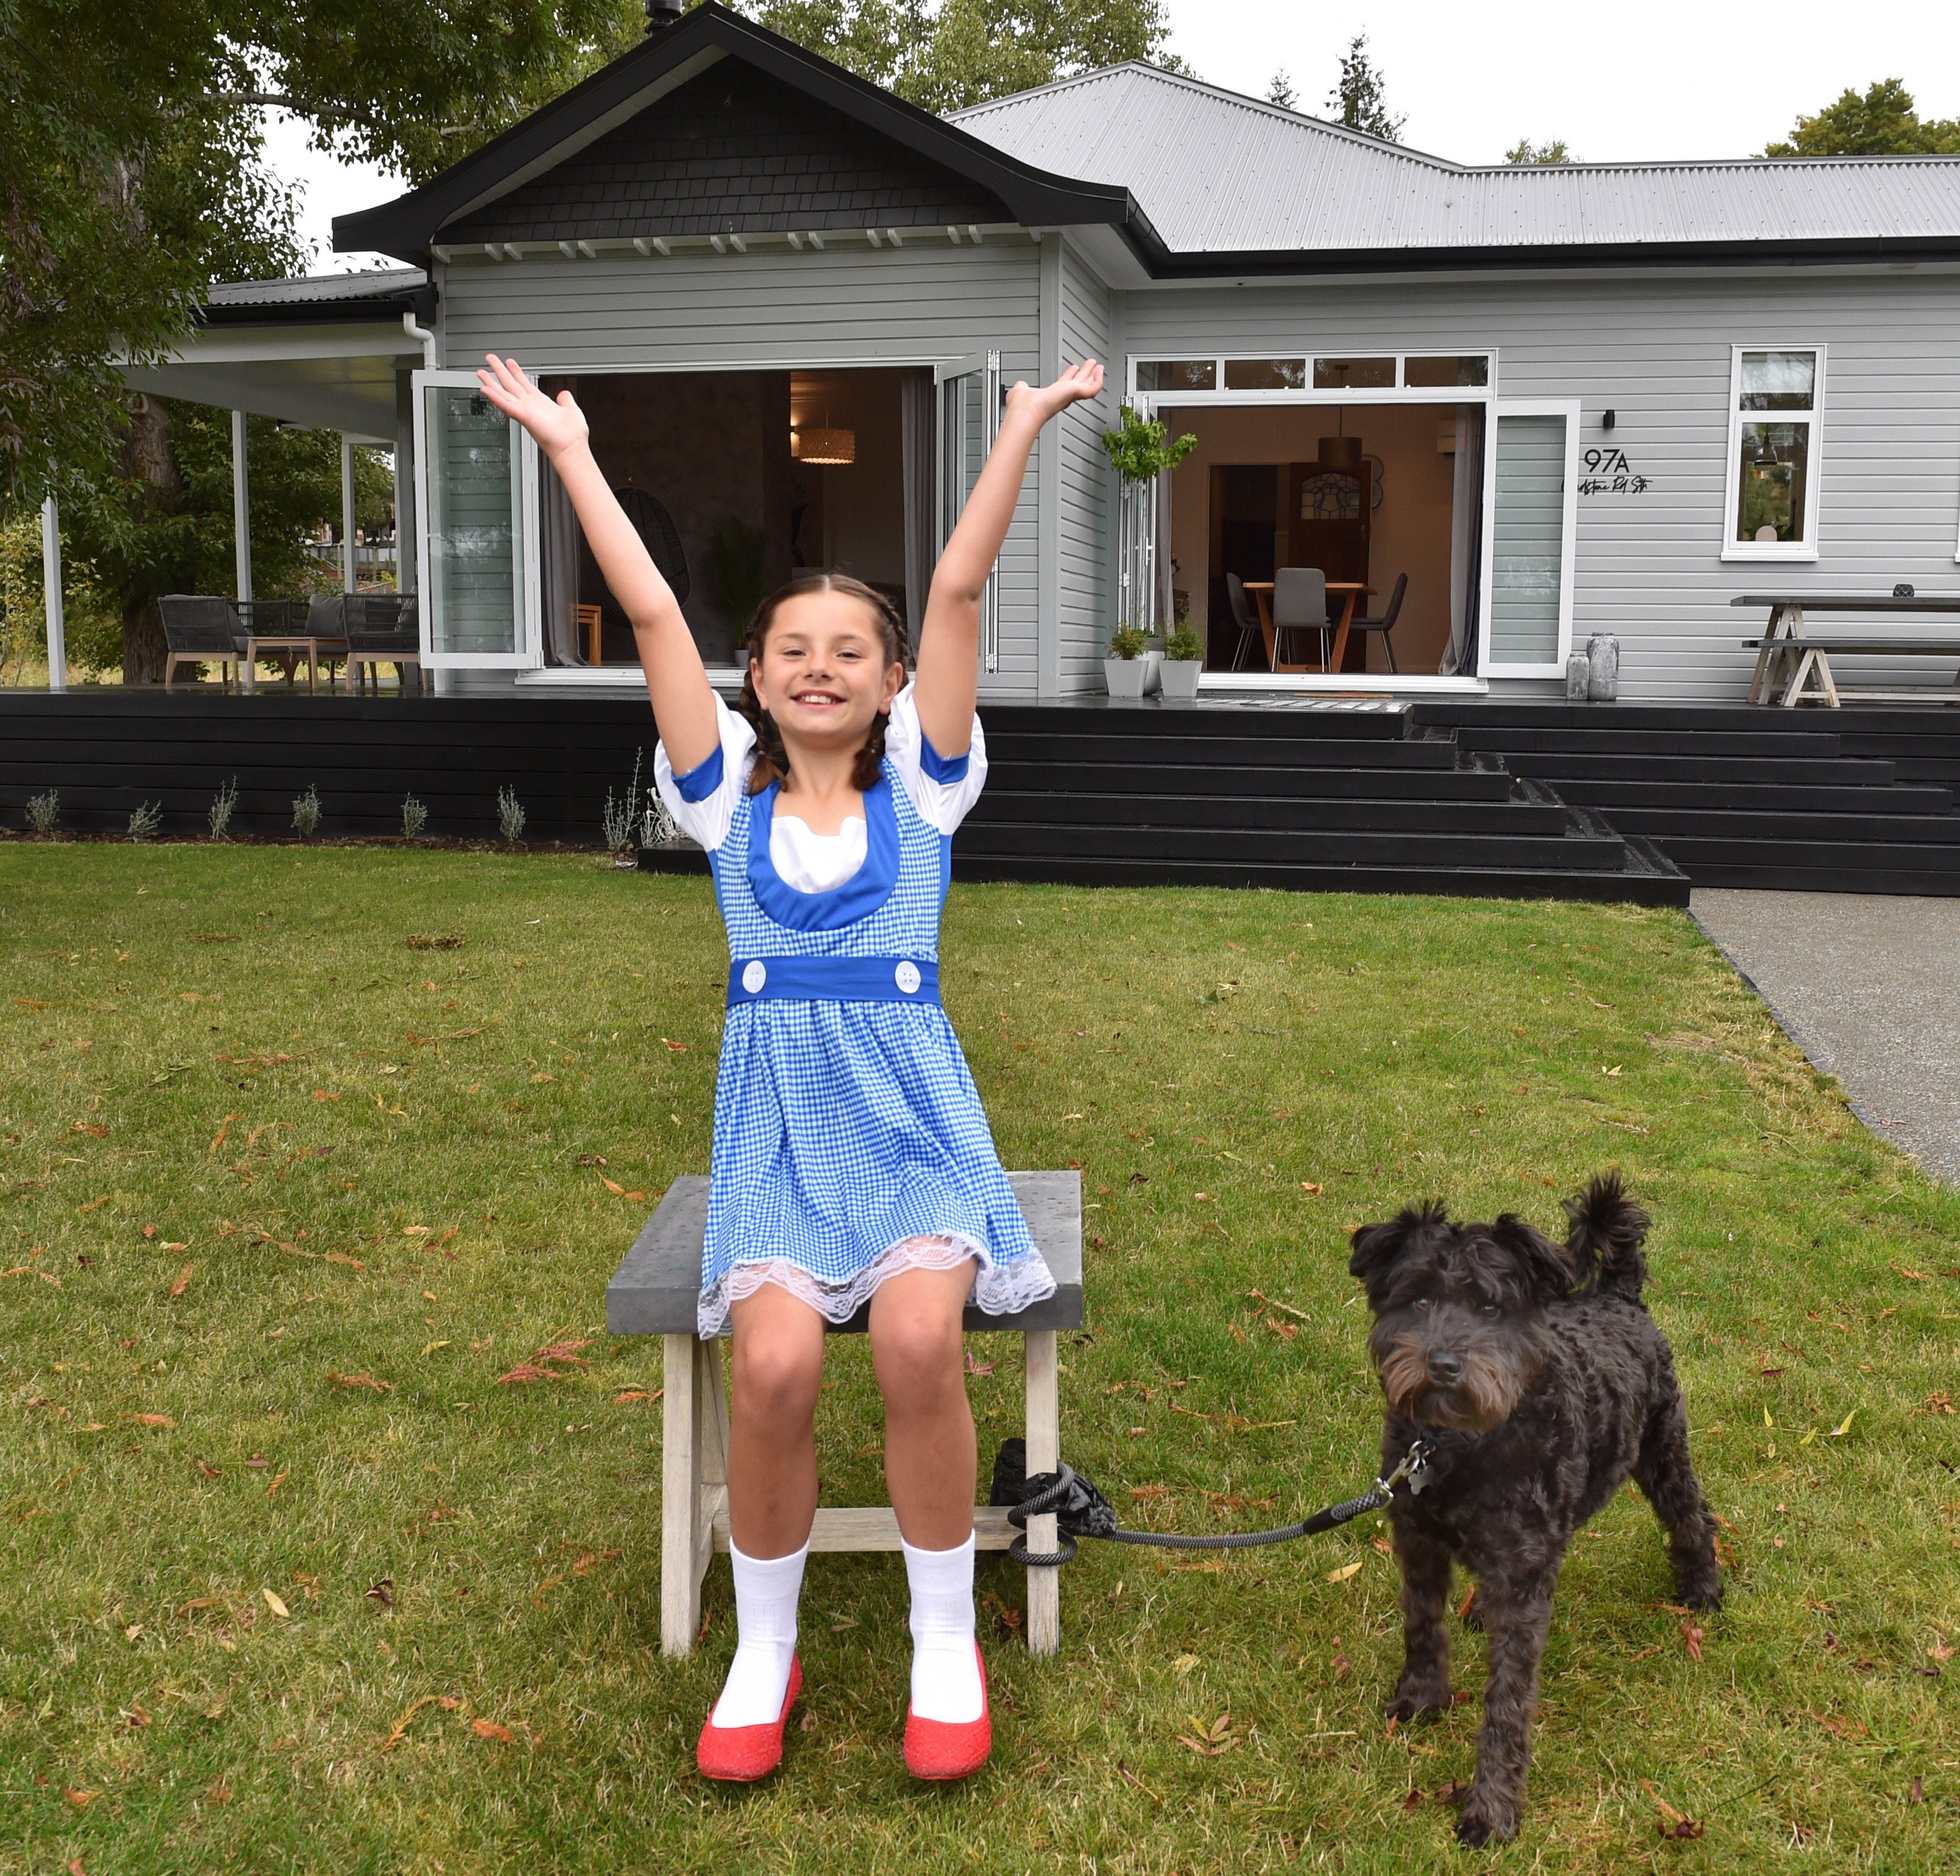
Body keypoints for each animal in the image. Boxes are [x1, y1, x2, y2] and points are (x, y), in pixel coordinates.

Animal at [1348, 1168, 1717, 1842]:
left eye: (1491, 1308)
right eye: (1419, 1301)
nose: (1444, 1364)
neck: (1461, 1448)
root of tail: (1618, 1295)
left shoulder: (1521, 1577)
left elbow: (1507, 1702)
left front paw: (1491, 1809)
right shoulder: (1417, 1541)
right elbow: (1422, 1628)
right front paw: (1421, 1700)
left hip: (1663, 1448)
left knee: (1691, 1516)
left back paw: (1704, 1590)